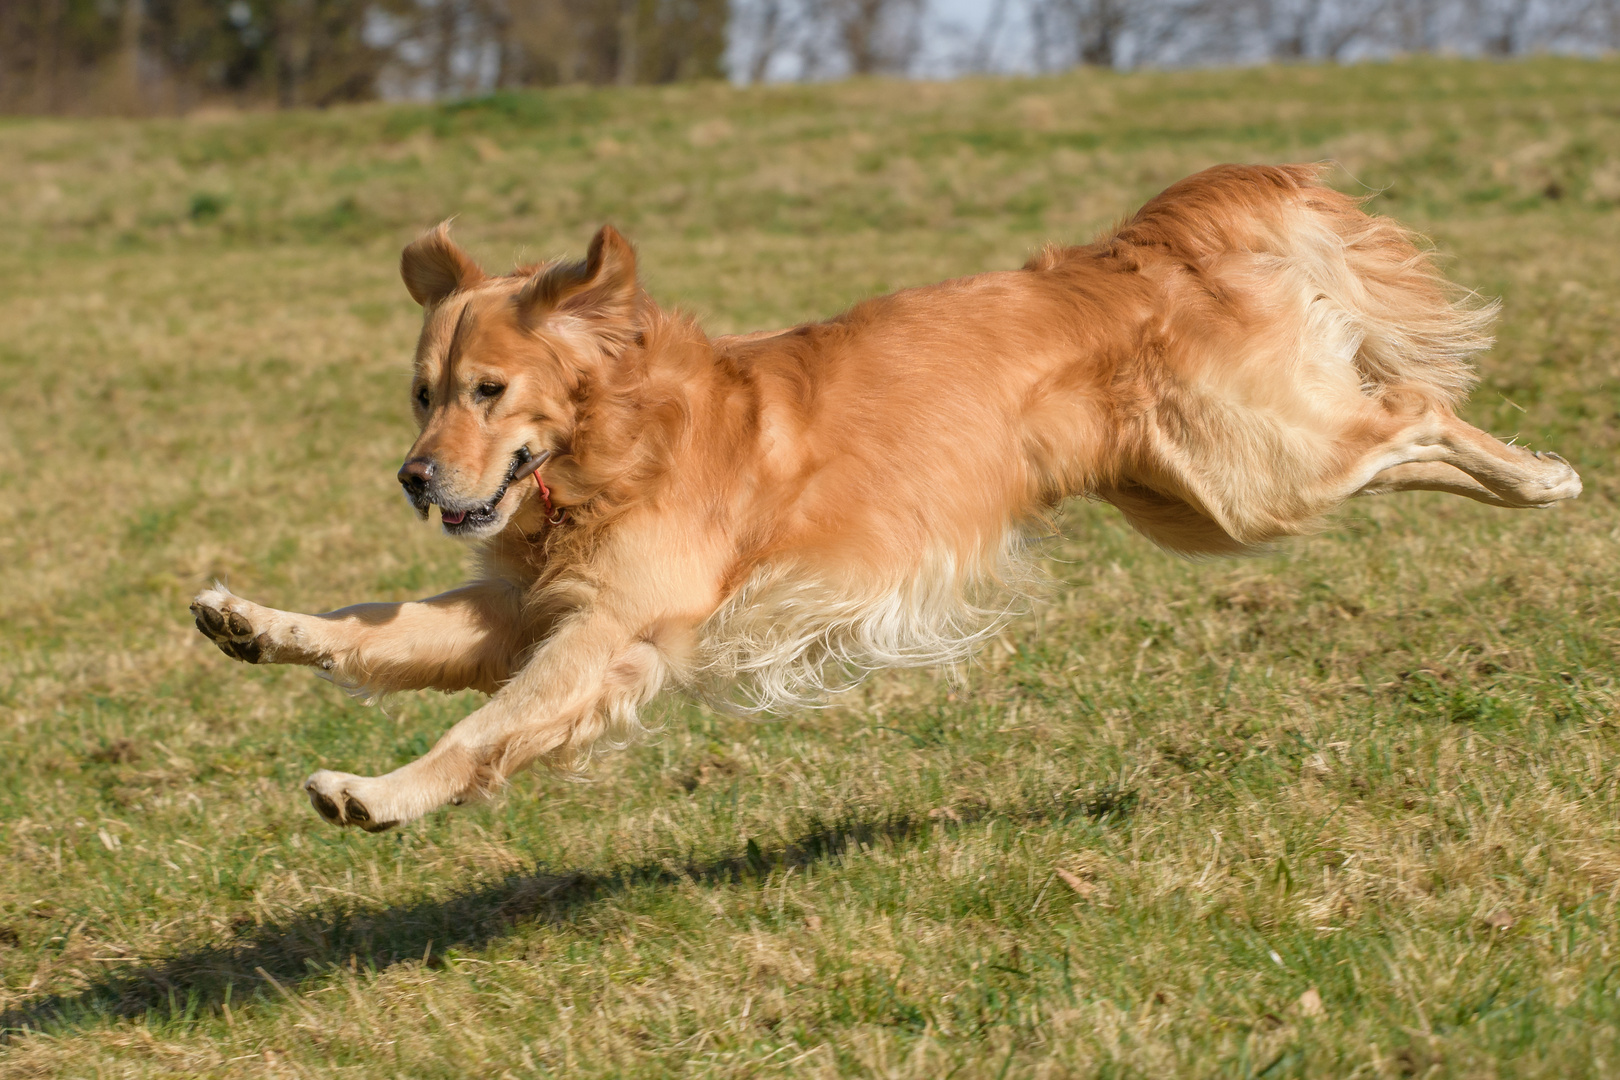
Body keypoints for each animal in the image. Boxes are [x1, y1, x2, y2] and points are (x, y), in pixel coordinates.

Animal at [189, 165, 1581, 835]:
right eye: (420, 393)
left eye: (489, 391)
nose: (414, 477)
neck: (619, 439)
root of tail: (1122, 255)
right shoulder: (521, 613)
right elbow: (375, 629)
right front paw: (252, 623)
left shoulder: (611, 631)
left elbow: (483, 731)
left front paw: (379, 796)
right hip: (1195, 494)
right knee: (1398, 429)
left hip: (1248, 479)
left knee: (1412, 410)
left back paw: (1541, 474)